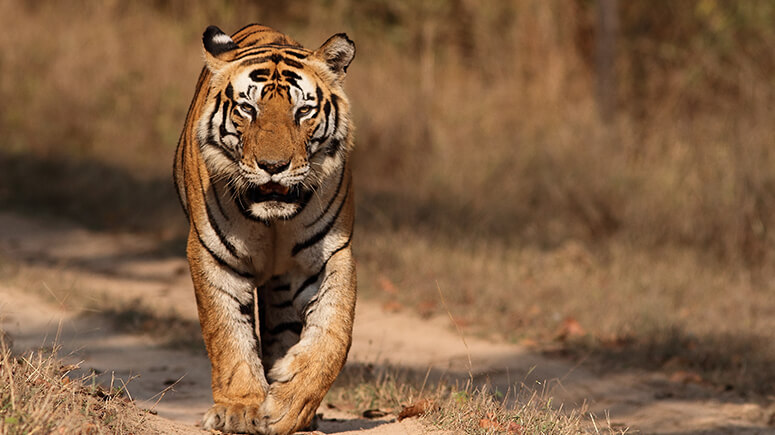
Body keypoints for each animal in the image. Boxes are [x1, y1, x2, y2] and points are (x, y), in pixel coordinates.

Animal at [173, 24, 358, 435]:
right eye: (248, 108)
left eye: (302, 111)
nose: (273, 166)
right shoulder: (214, 257)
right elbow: (228, 336)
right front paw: (240, 409)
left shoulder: (328, 256)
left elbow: (333, 334)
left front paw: (290, 405)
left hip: (283, 287)